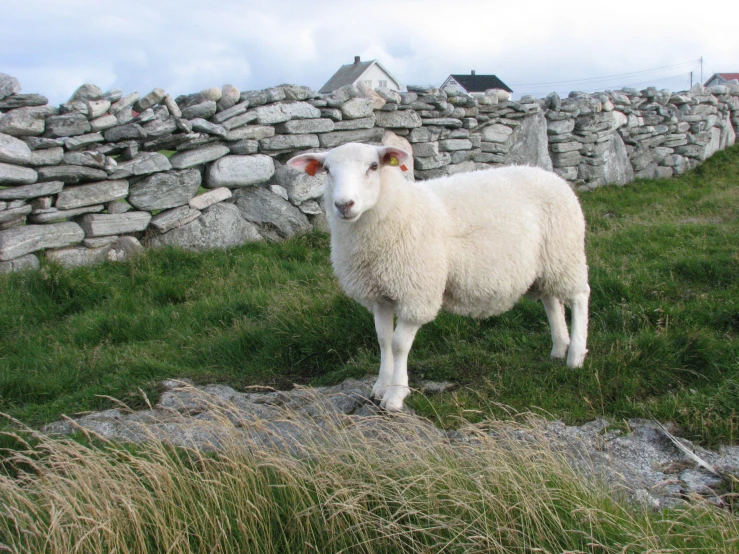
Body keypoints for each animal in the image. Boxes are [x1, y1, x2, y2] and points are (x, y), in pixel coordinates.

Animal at [288, 142, 588, 410]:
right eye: (327, 170)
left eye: (373, 166)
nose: (344, 204)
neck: (397, 211)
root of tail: (550, 175)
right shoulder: (379, 295)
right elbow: (383, 340)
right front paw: (380, 387)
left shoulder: (417, 292)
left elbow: (398, 344)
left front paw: (396, 395)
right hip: (547, 264)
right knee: (551, 300)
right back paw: (559, 348)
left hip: (566, 251)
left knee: (579, 296)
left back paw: (575, 356)